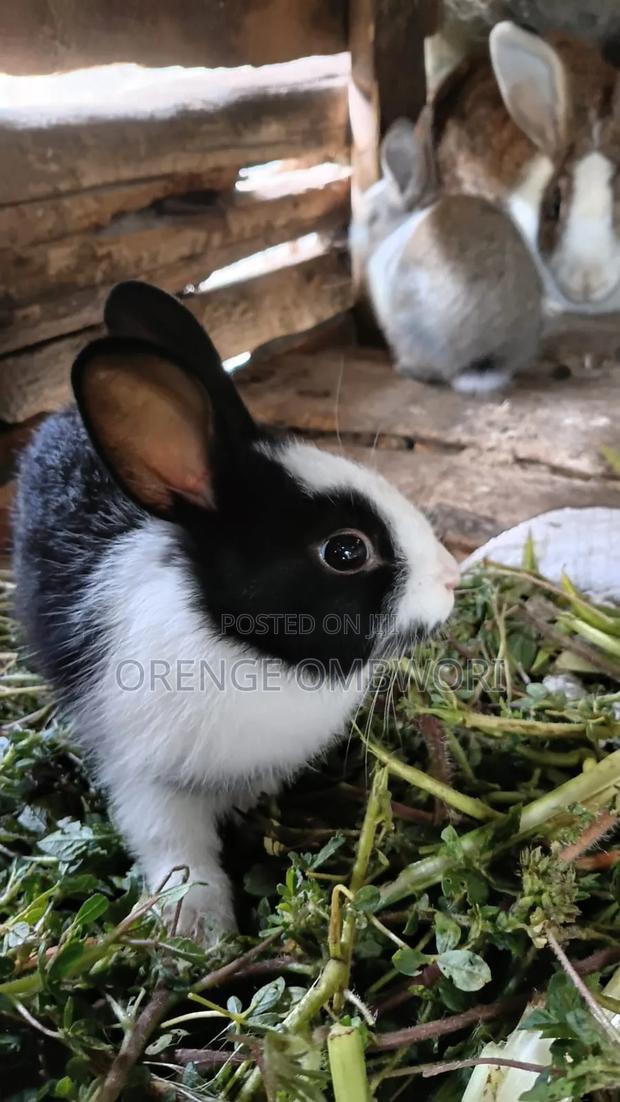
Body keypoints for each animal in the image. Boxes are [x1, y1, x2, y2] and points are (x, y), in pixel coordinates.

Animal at [12, 280, 459, 944]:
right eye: (345, 550)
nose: (452, 577)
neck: (252, 654)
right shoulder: (142, 776)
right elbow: (175, 850)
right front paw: (200, 929)